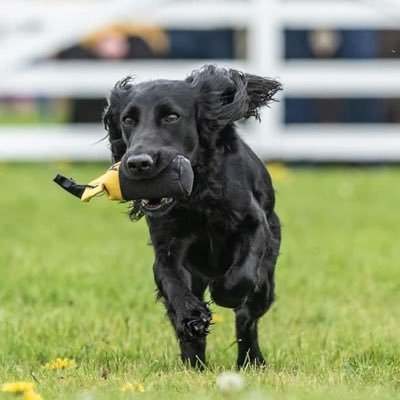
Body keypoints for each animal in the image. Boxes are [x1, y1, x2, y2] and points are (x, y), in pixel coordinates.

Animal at [103, 65, 282, 368]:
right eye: (127, 120)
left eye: (172, 117)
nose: (138, 163)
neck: (197, 194)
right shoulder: (167, 247)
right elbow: (173, 284)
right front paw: (192, 317)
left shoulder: (254, 223)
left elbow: (241, 276)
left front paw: (223, 293)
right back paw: (194, 364)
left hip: (267, 280)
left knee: (248, 317)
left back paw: (251, 360)